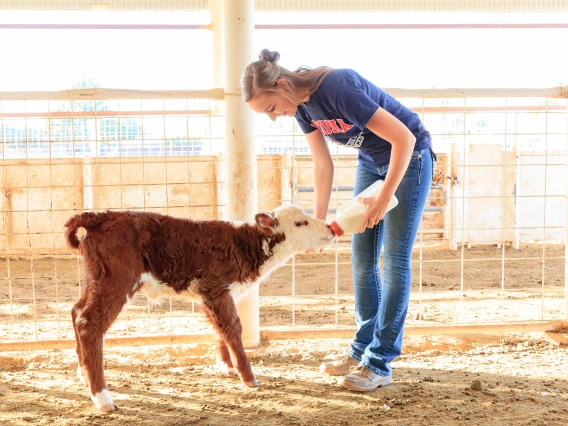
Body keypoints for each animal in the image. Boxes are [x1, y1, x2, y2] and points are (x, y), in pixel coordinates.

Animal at [64, 205, 336, 412]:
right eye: (301, 223)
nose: (331, 229)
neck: (245, 244)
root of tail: (100, 216)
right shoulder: (216, 288)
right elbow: (233, 327)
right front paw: (248, 377)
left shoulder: (215, 295)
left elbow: (219, 328)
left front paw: (227, 366)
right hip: (117, 281)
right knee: (90, 324)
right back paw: (102, 398)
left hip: (95, 279)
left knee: (76, 312)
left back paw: (83, 373)